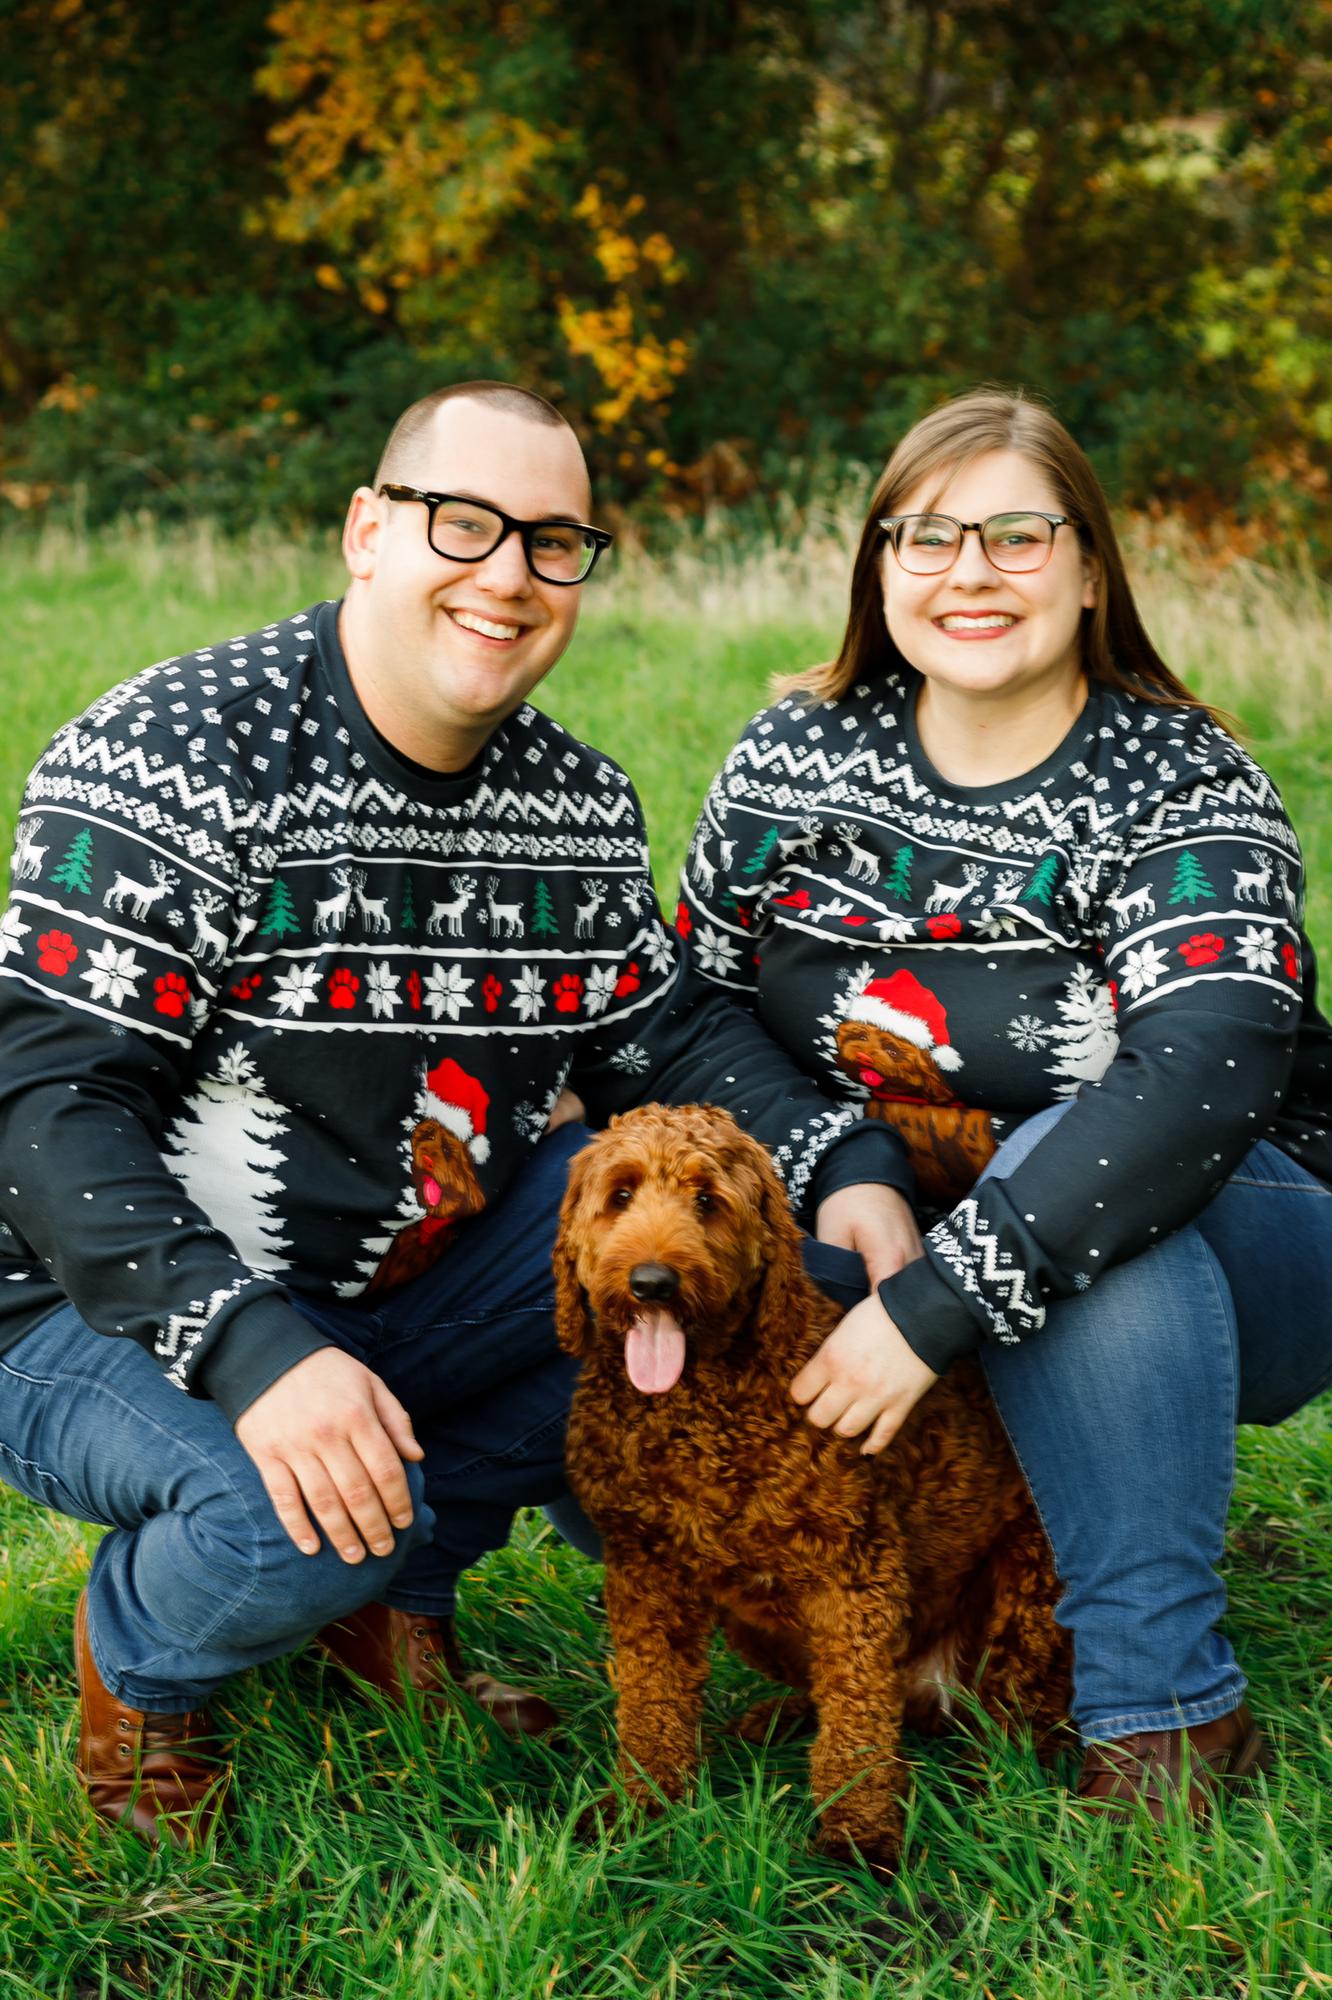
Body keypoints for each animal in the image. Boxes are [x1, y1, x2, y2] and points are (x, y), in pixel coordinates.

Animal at [555, 1103, 1070, 1870]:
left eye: (707, 1201)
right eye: (620, 1195)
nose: (652, 1283)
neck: (695, 1407)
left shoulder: (852, 1572)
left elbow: (857, 1712)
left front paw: (859, 1833)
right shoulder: (645, 1569)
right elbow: (652, 1696)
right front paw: (640, 1806)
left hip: (1025, 1602)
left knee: (1017, 1712)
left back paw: (1007, 1781)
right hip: (754, 1624)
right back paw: (779, 1719)